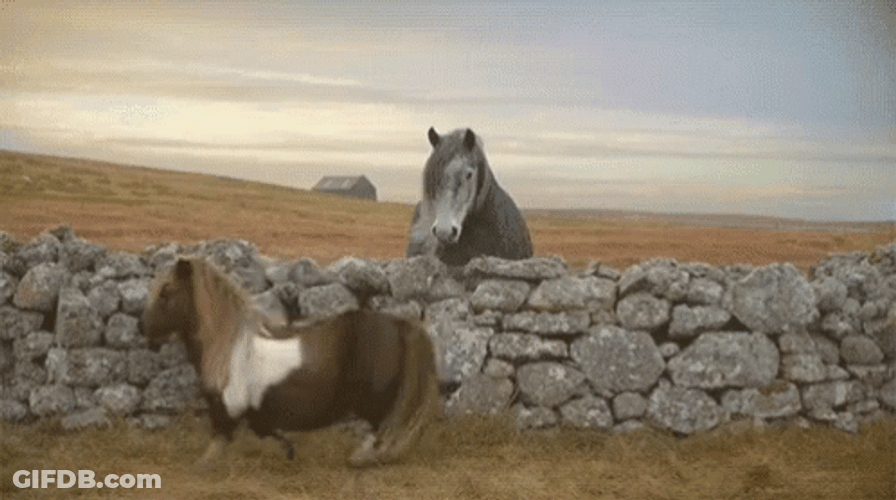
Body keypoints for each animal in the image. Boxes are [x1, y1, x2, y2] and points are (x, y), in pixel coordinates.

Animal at [141, 256, 439, 468]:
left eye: (166, 291)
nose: (144, 331)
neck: (231, 345)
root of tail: (399, 324)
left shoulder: (228, 407)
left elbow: (220, 438)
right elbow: (261, 431)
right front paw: (288, 450)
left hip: (374, 400)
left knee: (381, 430)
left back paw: (362, 458)